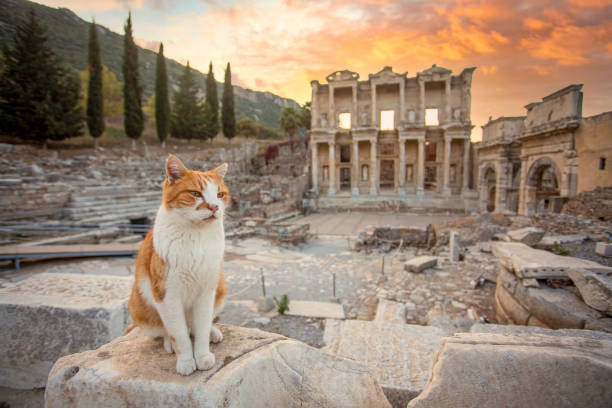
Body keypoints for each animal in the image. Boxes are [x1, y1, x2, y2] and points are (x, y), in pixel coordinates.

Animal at [126, 154, 230, 376]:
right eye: (195, 193)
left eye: (220, 194)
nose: (214, 207)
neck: (196, 238)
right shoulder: (167, 295)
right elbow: (179, 334)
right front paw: (186, 361)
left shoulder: (206, 291)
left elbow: (201, 326)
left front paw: (202, 355)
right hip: (140, 308)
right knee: (168, 329)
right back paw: (169, 344)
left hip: (220, 288)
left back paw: (212, 332)